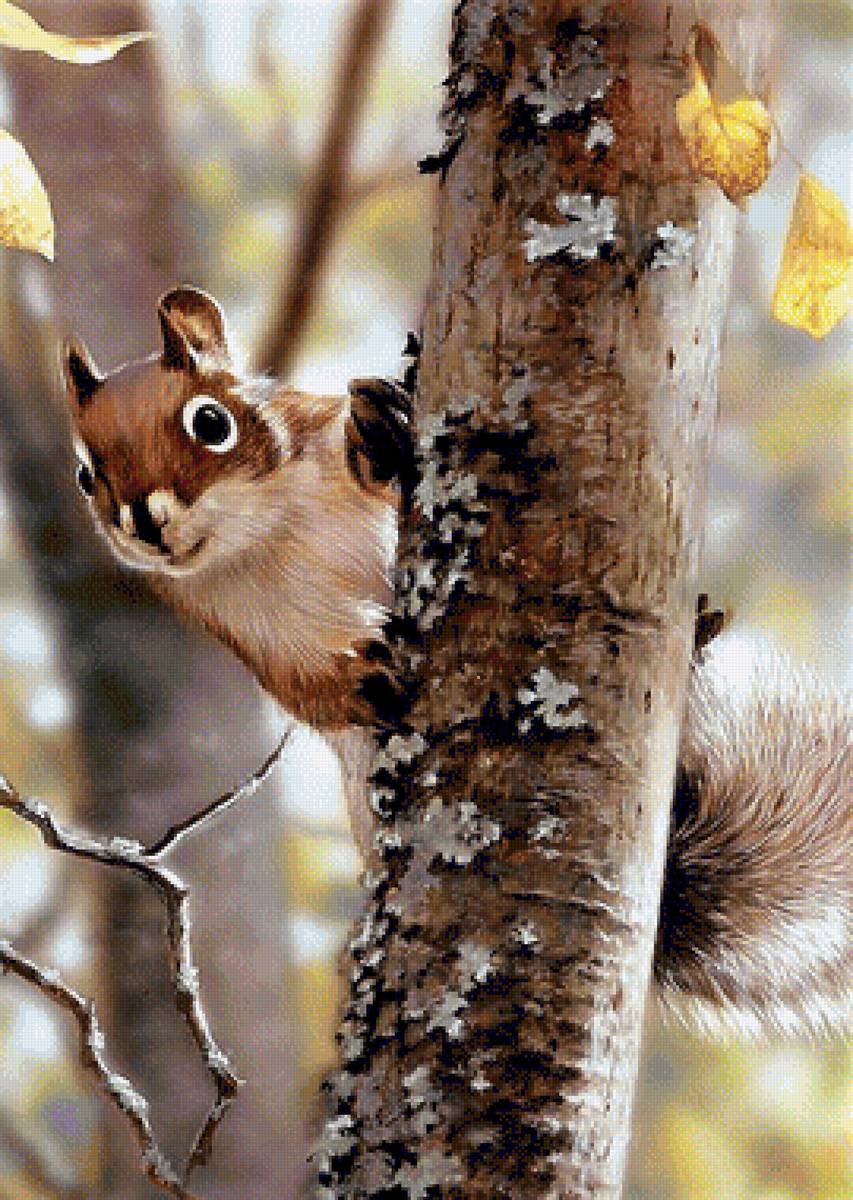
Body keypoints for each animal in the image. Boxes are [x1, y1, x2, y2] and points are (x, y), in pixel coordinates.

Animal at [61, 286, 851, 1039]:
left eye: (211, 423)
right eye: (85, 473)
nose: (143, 523)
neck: (266, 530)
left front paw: (379, 427)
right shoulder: (241, 627)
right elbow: (305, 688)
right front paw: (361, 681)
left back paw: (698, 636)